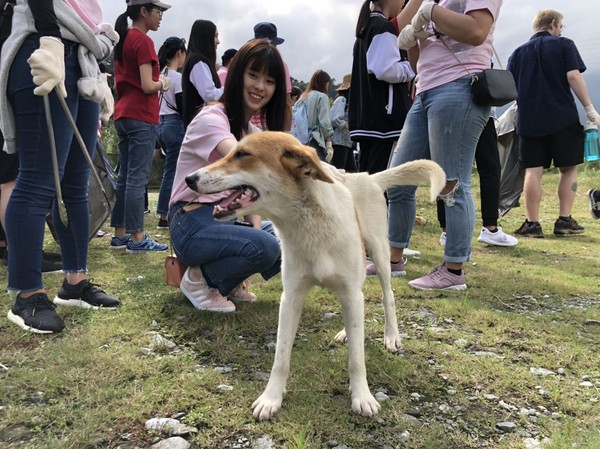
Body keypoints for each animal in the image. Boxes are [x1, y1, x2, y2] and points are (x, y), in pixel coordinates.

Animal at [186, 130, 446, 420]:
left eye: (243, 154)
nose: (189, 179)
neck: (307, 224)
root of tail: (365, 176)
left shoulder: (350, 290)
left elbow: (357, 359)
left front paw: (362, 396)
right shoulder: (291, 297)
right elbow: (281, 356)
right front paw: (271, 397)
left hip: (379, 253)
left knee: (387, 296)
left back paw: (391, 336)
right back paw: (346, 332)